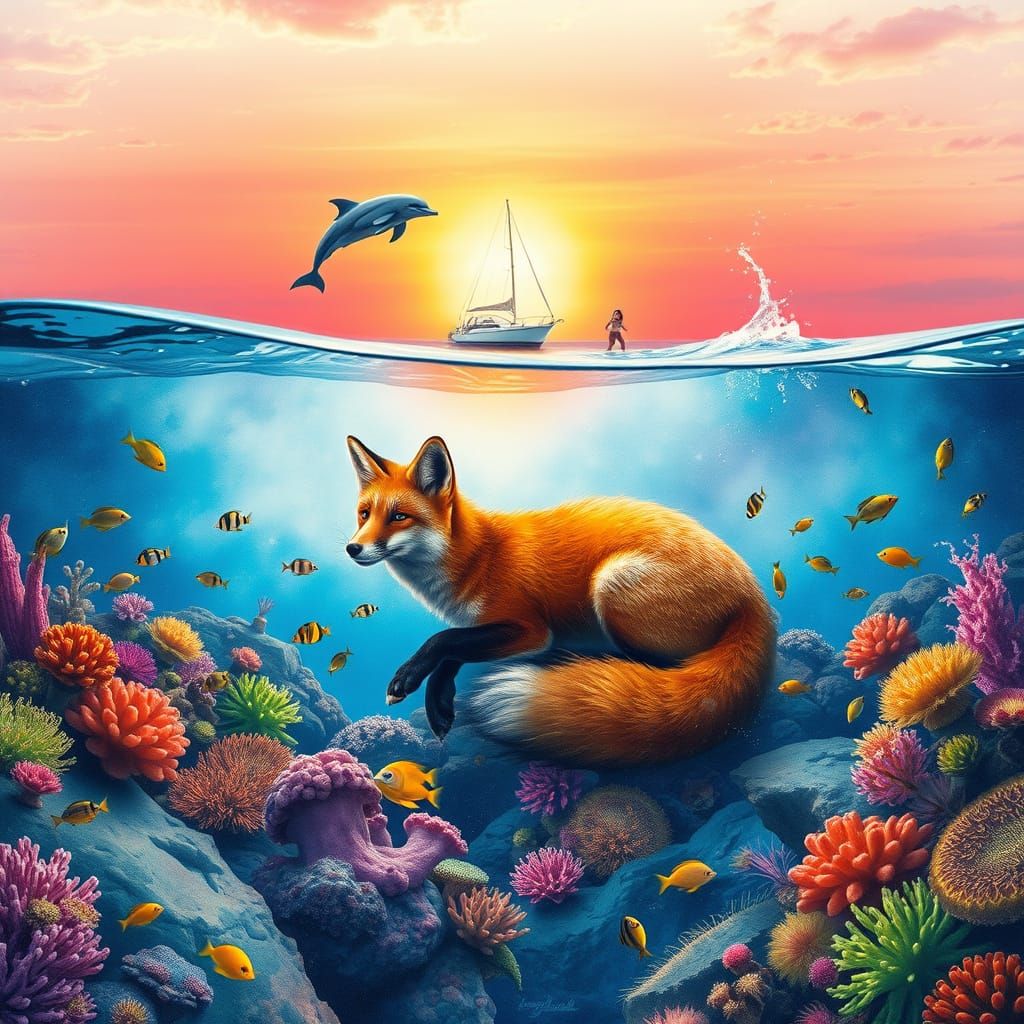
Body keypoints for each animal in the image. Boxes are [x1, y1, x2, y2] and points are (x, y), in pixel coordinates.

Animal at [345, 435, 775, 765]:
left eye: (399, 516)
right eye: (364, 514)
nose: (352, 548)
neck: (479, 556)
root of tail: (752, 592)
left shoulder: (531, 630)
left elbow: (445, 640)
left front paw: (409, 679)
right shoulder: (488, 626)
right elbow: (455, 648)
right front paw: (439, 705)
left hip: (612, 584)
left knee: (659, 668)